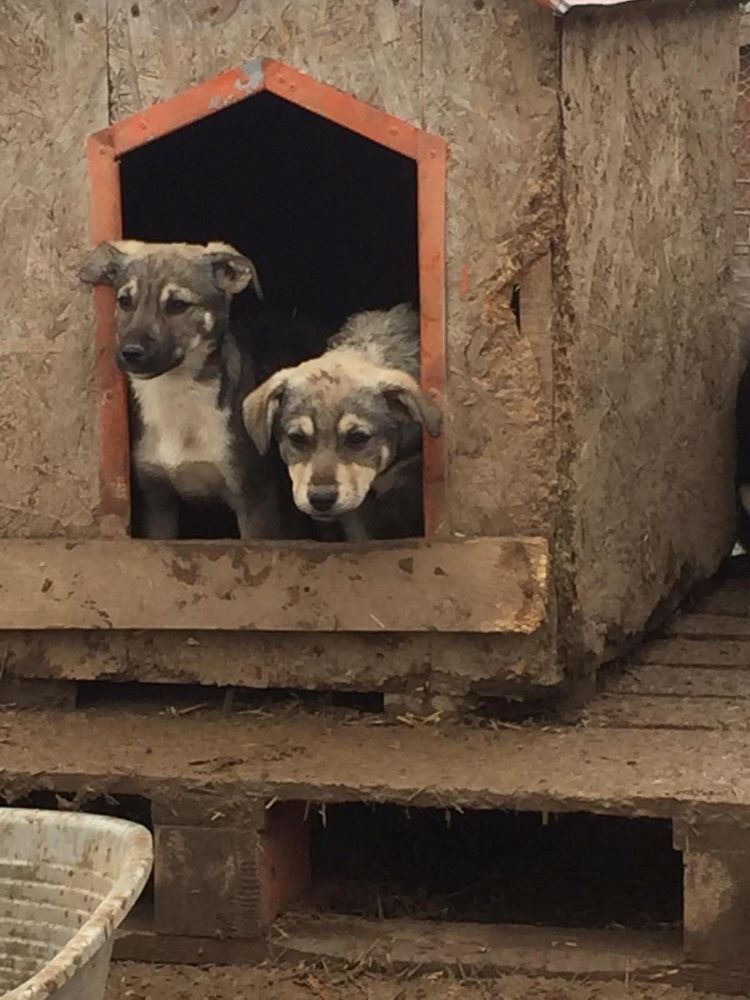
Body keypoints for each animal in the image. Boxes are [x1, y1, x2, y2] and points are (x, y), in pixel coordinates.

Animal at [80, 240, 282, 540]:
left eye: (178, 305)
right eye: (124, 301)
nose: (130, 353)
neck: (176, 395)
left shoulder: (255, 501)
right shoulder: (156, 500)